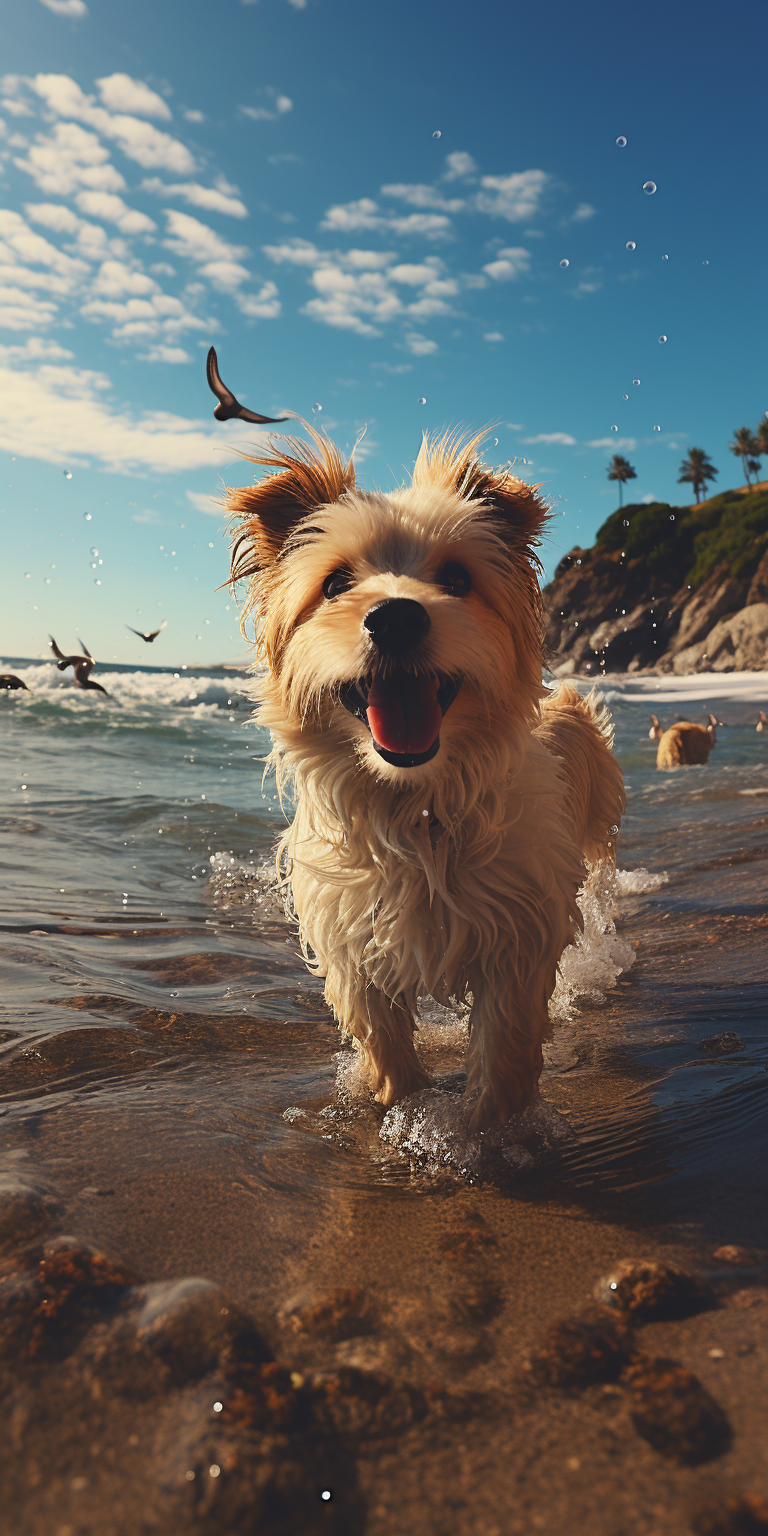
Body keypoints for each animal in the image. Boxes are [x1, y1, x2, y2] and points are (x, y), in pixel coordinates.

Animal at [225, 427, 623, 1136]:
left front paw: (490, 1134)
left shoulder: (518, 934)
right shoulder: (353, 943)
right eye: (335, 583)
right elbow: (385, 1043)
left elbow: (505, 1045)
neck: (417, 808)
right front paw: (405, 1112)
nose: (396, 617)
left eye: (457, 579)